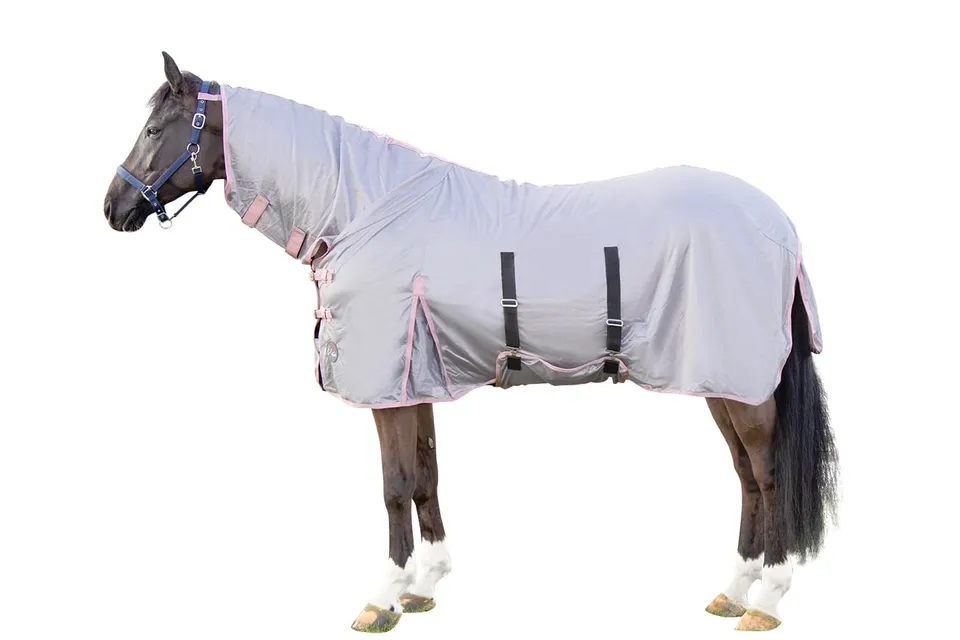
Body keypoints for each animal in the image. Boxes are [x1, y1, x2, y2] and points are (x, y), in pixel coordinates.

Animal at [103, 52, 839, 633]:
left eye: (154, 129)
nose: (113, 207)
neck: (364, 208)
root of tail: (780, 225)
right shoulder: (414, 379)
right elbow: (425, 476)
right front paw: (425, 585)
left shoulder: (387, 390)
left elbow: (394, 484)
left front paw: (384, 597)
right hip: (721, 380)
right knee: (746, 478)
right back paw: (733, 590)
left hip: (745, 387)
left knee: (768, 476)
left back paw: (766, 599)